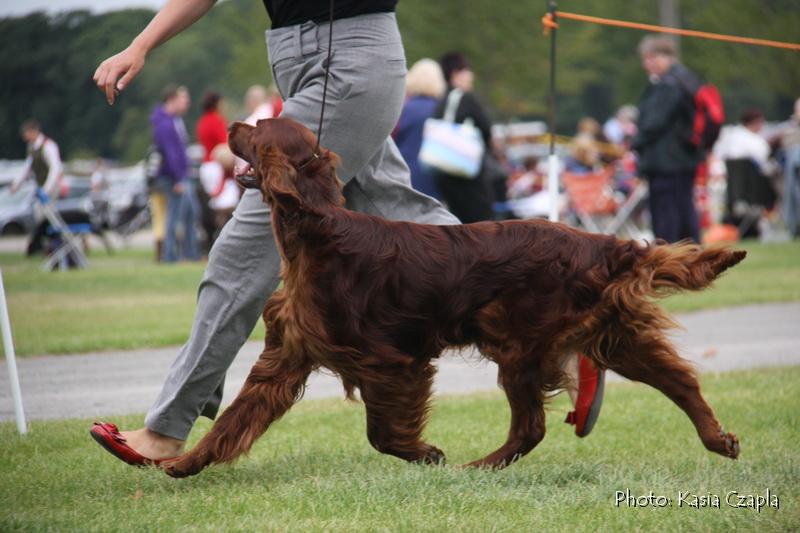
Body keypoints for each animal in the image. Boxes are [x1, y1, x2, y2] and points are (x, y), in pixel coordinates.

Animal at [162, 118, 744, 476]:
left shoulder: (391, 362)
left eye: (258, 129)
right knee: (678, 381)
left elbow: (382, 434)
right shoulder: (287, 356)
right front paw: (184, 463)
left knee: (531, 427)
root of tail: (604, 242)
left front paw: (428, 454)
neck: (317, 231)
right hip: (607, 338)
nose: (231, 125)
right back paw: (718, 439)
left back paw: (478, 467)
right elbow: (234, 419)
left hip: (520, 348)